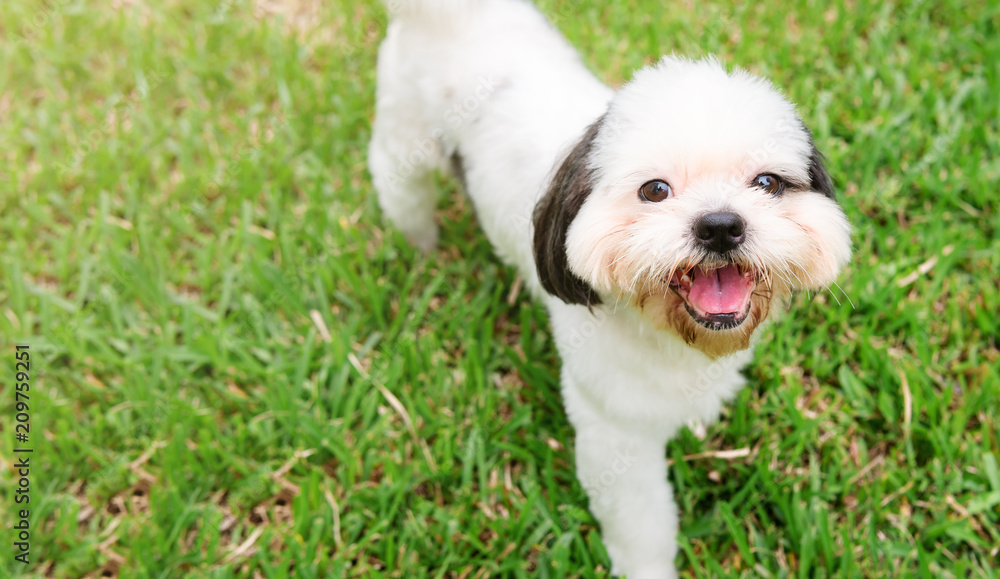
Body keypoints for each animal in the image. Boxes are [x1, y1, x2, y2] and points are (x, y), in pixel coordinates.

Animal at [368, 0, 852, 576]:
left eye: (767, 183)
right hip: (403, 146)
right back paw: (422, 248)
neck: (665, 332)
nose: (720, 225)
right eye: (655, 190)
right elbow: (641, 523)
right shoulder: (615, 432)